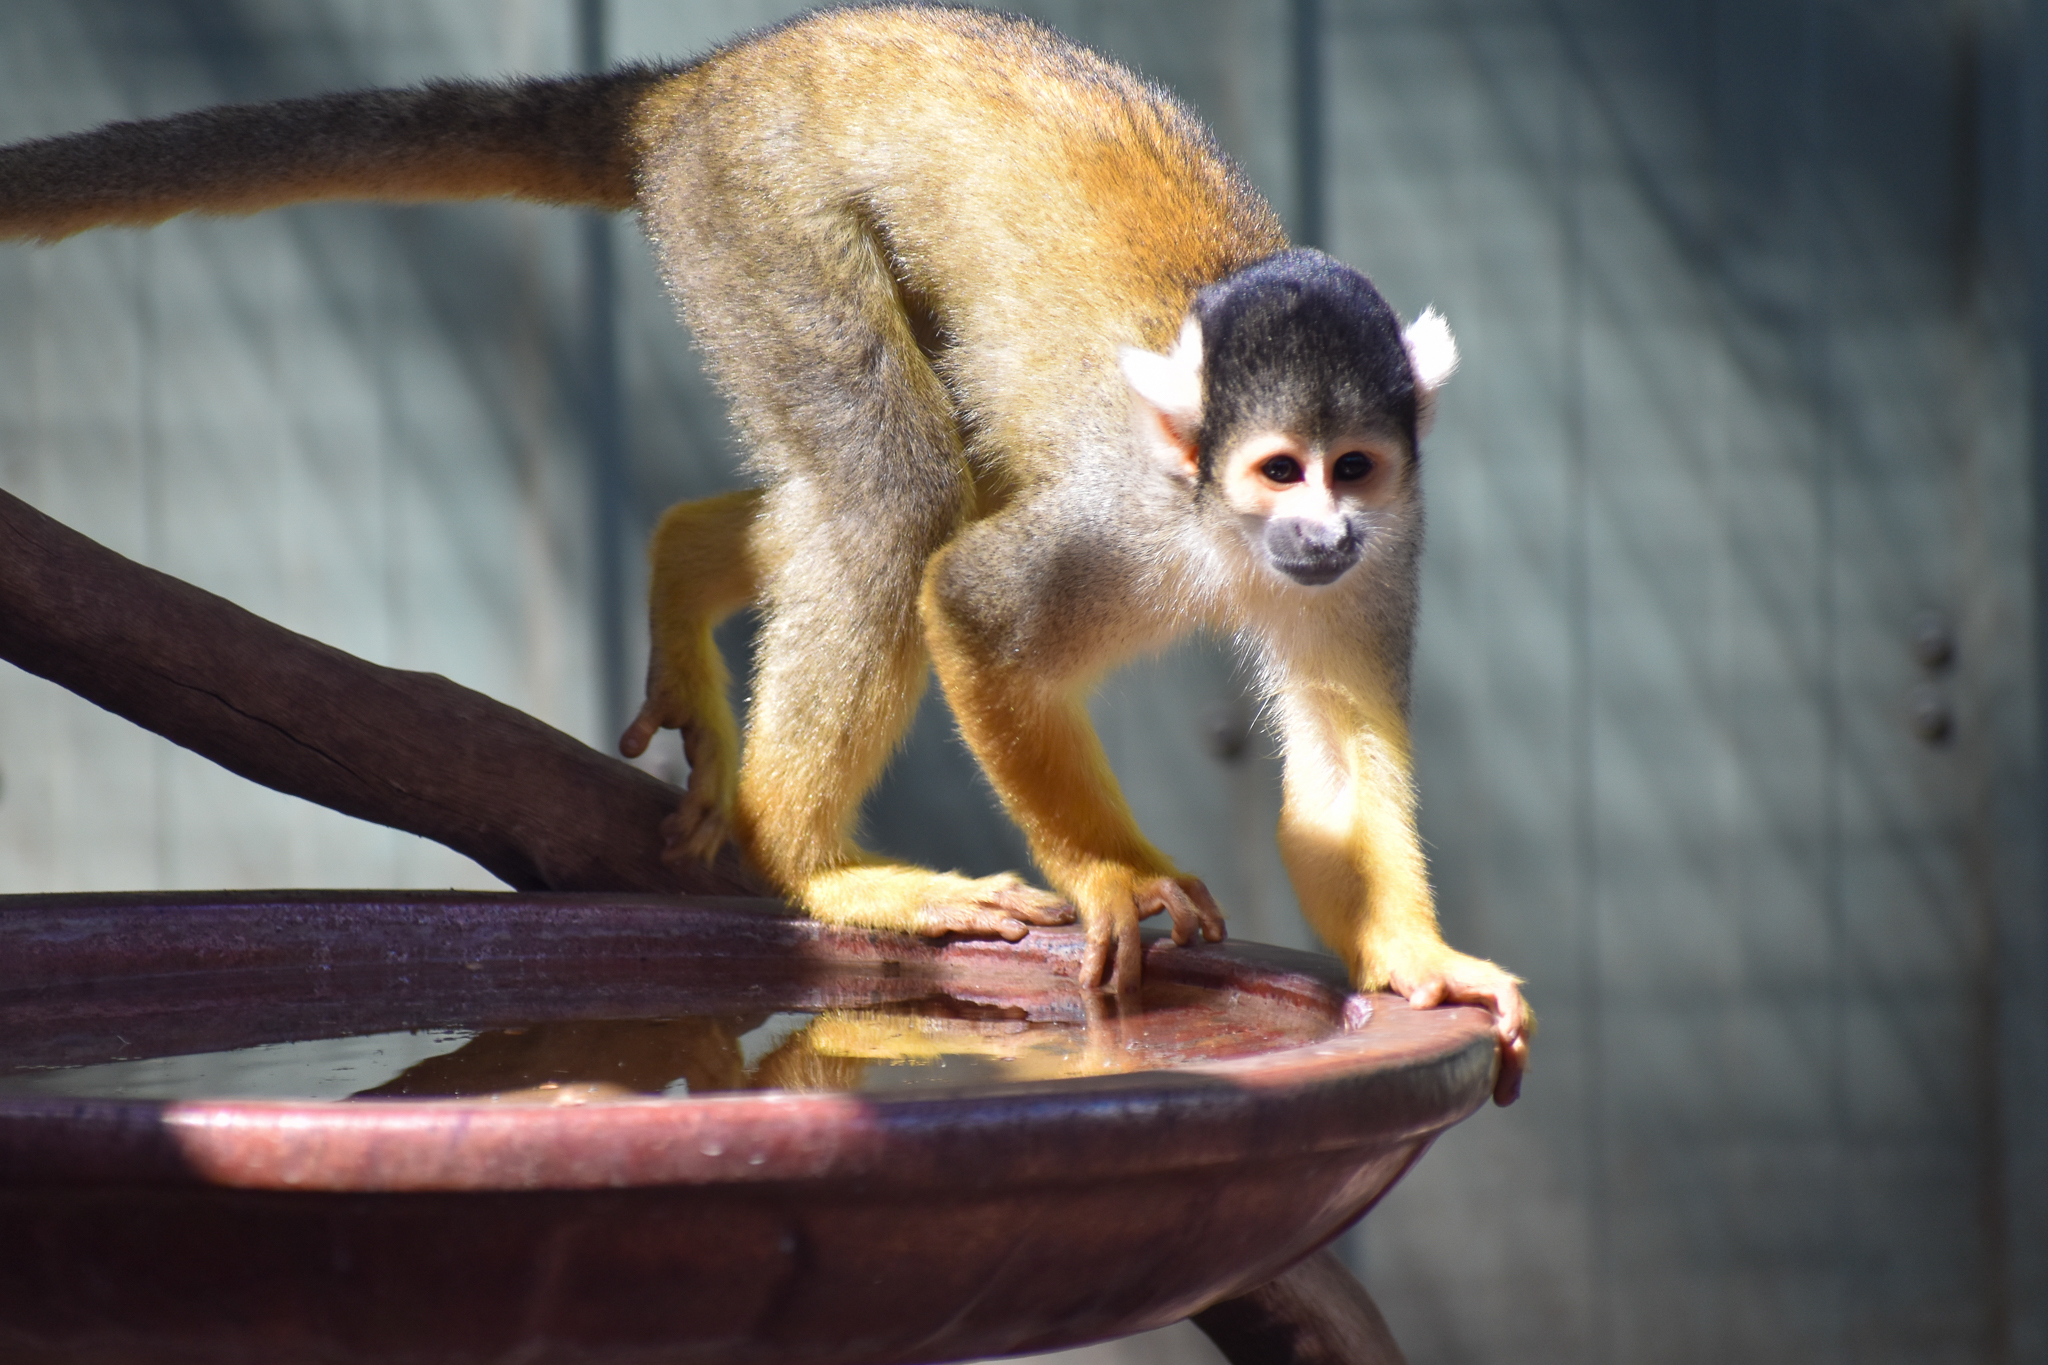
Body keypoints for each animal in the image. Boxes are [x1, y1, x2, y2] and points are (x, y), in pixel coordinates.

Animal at [0, 6, 1528, 1101]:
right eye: (1277, 469)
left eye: (1352, 469)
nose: (1319, 530)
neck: (1216, 532)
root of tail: (704, 81)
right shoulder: (1118, 516)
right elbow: (967, 600)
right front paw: (1112, 875)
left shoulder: (1397, 550)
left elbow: (1335, 757)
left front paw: (1417, 962)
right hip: (750, 217)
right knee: (895, 490)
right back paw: (811, 862)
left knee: (919, 473)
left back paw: (686, 560)